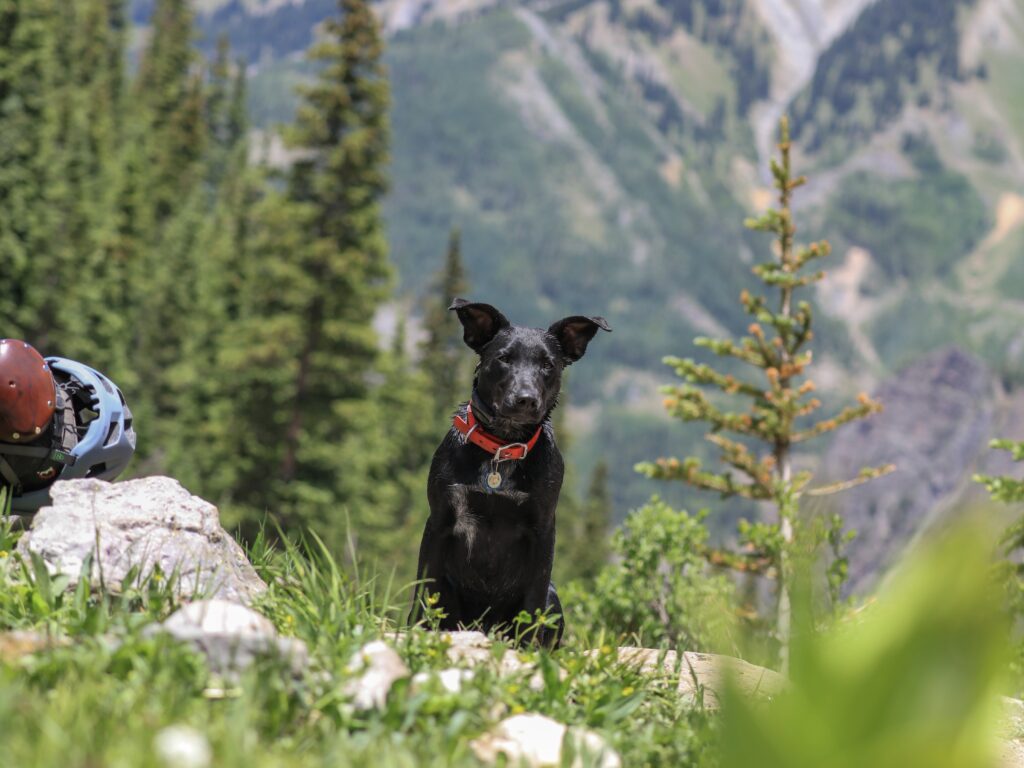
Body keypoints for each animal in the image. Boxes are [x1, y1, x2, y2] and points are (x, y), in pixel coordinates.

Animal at [411, 296, 610, 647]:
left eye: (548, 365)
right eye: (503, 358)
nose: (525, 399)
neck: (502, 448)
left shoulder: (543, 531)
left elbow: (533, 604)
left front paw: (529, 650)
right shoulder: (440, 521)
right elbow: (423, 591)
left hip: (554, 597)